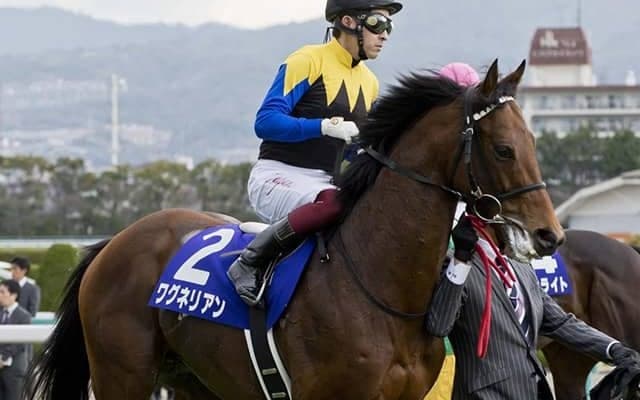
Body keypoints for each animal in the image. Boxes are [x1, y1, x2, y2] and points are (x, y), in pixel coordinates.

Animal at [25, 59, 564, 400]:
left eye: (534, 140)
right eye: (503, 149)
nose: (550, 235)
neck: (379, 285)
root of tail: (114, 243)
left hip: (195, 379)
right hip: (124, 373)